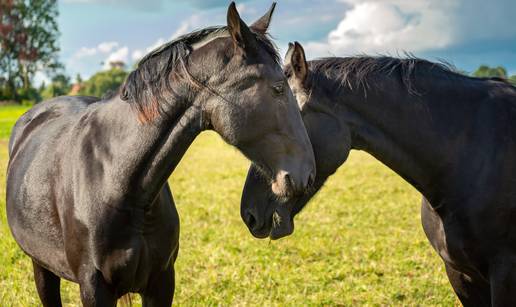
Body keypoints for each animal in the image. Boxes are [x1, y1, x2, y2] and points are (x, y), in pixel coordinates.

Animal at [6, 4, 316, 306]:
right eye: (278, 88)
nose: (307, 174)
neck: (115, 180)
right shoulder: (94, 288)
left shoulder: (162, 281)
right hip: (41, 267)